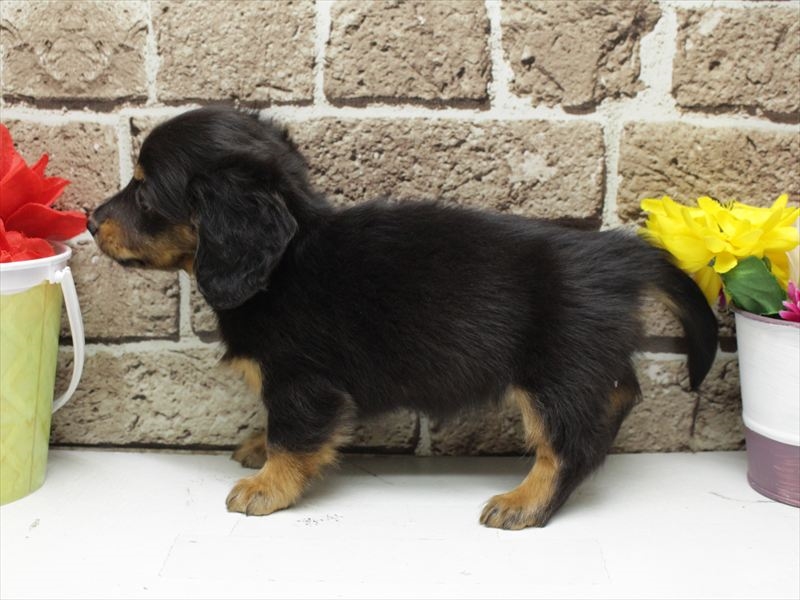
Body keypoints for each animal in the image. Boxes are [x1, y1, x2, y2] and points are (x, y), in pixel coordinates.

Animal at [89, 106, 718, 529]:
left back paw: (524, 502)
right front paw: (258, 445)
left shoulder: (301, 383)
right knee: (616, 395)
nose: (90, 221)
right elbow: (279, 428)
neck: (285, 262)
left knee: (570, 446)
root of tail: (621, 254)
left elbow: (295, 438)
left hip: (554, 375)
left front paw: (267, 485)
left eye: (144, 193)